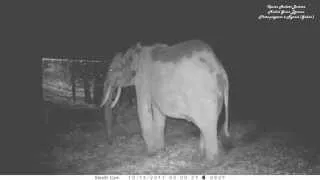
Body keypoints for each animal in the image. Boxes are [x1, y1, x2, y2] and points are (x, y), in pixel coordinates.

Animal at [100, 39, 230, 162]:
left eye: (111, 70)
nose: (110, 142)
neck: (137, 52)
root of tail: (221, 71)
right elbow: (158, 113)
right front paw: (160, 150)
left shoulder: (142, 80)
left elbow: (143, 110)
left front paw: (151, 153)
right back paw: (200, 155)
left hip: (203, 95)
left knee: (207, 125)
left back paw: (210, 161)